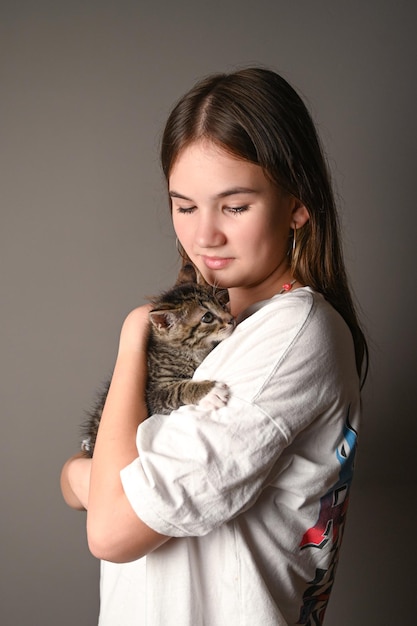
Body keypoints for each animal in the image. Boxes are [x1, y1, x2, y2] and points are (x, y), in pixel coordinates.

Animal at [81, 260, 234, 456]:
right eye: (207, 317)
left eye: (221, 303)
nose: (231, 319)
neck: (190, 350)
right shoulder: (153, 394)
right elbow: (177, 389)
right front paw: (210, 391)